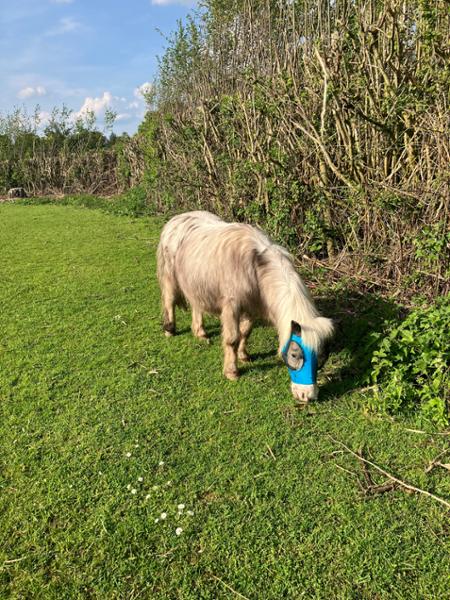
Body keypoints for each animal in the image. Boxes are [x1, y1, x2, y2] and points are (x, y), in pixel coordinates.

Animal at [156, 211, 332, 404]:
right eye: (295, 354)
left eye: (322, 358)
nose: (307, 396)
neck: (255, 266)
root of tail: (178, 218)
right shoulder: (232, 306)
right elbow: (232, 338)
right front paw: (231, 371)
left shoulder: (251, 306)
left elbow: (245, 332)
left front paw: (244, 356)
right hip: (169, 277)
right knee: (169, 301)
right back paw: (169, 329)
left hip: (196, 284)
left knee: (197, 305)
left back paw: (200, 333)